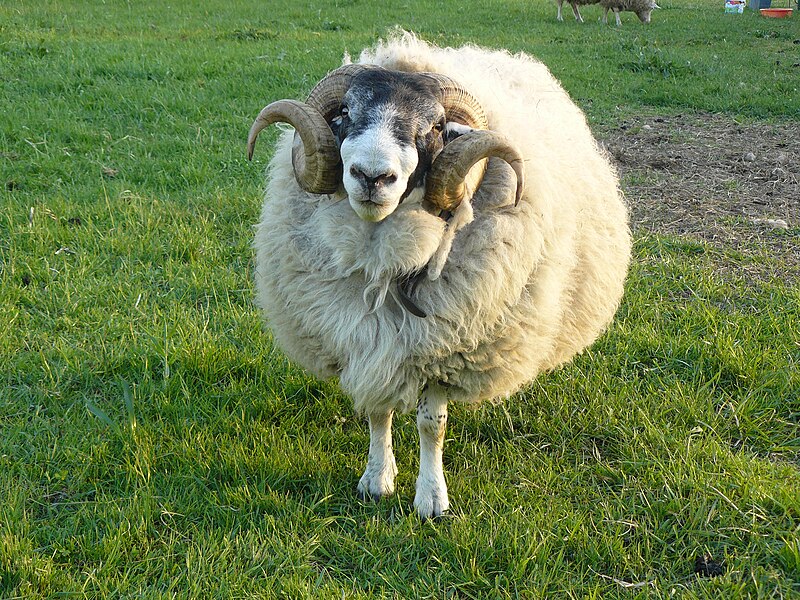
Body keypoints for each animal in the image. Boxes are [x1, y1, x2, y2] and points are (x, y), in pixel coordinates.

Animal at [247, 31, 636, 520]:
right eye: (346, 113)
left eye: (434, 128)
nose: (371, 176)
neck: (384, 263)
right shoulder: (369, 341)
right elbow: (379, 412)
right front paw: (377, 479)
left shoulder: (444, 352)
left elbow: (432, 425)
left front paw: (431, 498)